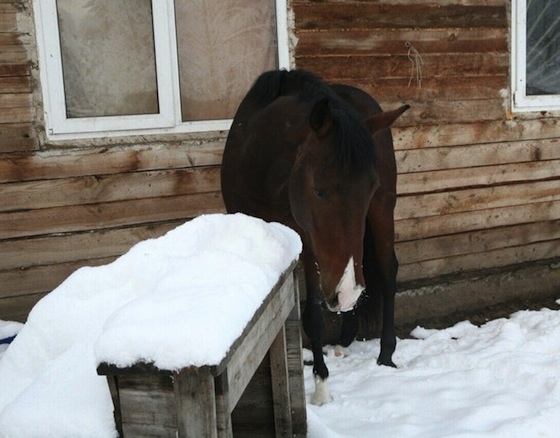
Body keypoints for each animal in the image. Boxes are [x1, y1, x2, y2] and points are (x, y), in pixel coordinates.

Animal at [221, 68, 410, 404]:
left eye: (369, 188)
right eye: (319, 190)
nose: (347, 292)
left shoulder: (308, 242)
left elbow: (312, 316)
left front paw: (321, 387)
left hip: (382, 207)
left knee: (388, 268)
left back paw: (386, 353)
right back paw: (345, 338)